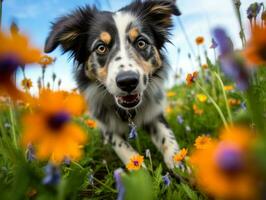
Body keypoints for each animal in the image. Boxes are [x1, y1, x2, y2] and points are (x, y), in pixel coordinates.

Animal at [44, 0, 183, 170]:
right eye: (101, 47)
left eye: (141, 43)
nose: (128, 81)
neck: (129, 112)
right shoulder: (106, 123)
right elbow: (123, 148)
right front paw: (138, 170)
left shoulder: (153, 112)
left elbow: (168, 137)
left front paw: (180, 165)